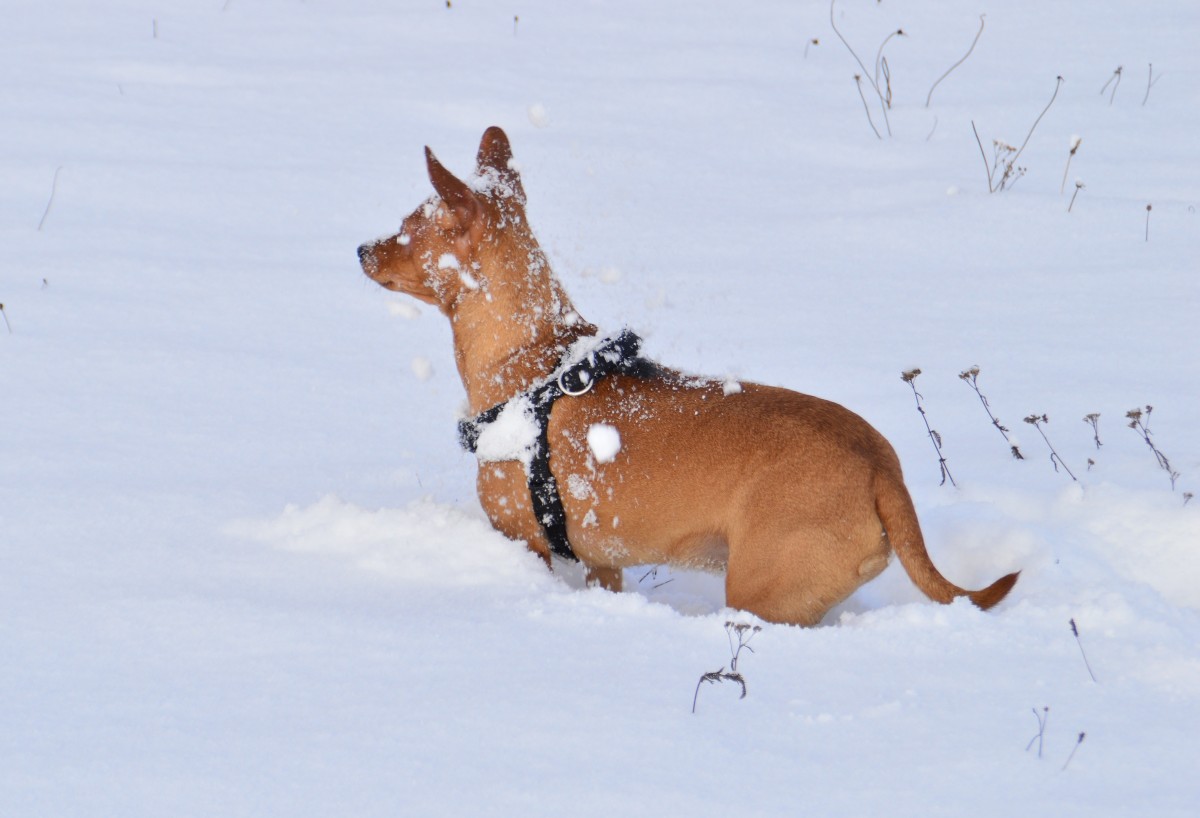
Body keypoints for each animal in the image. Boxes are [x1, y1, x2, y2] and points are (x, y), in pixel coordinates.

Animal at [355, 125, 1012, 623]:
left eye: (407, 228)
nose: (360, 249)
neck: (536, 357)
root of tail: (881, 468)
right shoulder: (603, 563)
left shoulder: (524, 543)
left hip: (760, 591)